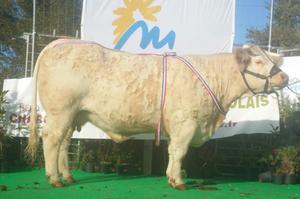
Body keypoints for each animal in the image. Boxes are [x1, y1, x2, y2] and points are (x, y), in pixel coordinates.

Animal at [27, 38, 290, 190]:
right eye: (258, 61)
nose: (284, 76)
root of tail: (59, 43)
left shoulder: (178, 126)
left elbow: (173, 152)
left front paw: (172, 177)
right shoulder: (186, 123)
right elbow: (180, 151)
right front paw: (178, 181)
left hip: (73, 115)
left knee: (63, 143)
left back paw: (67, 176)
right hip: (61, 111)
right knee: (51, 139)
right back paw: (54, 178)